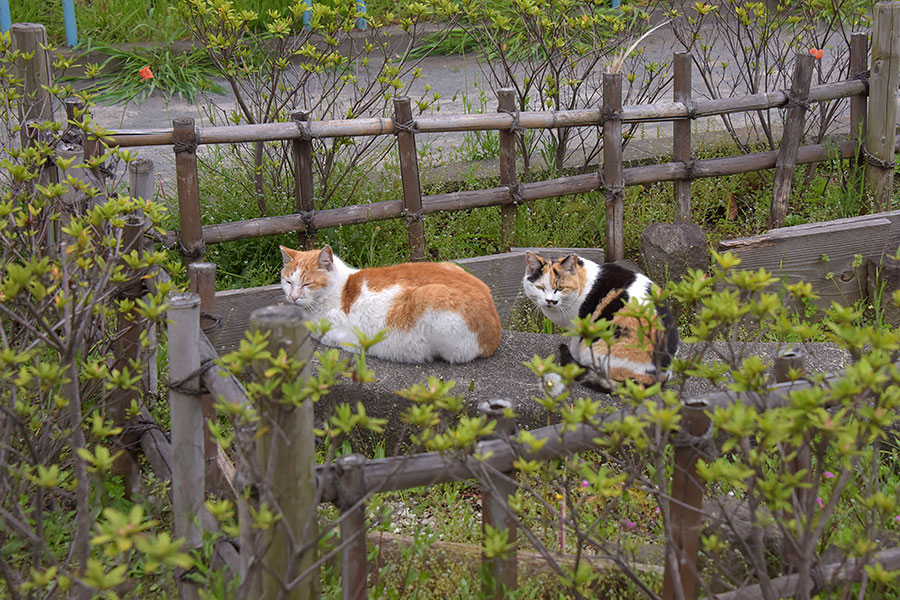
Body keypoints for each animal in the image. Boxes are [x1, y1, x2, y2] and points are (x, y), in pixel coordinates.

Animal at [282, 245, 502, 366]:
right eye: (288, 282)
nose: (293, 297)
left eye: (307, 284)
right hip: (449, 264)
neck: (340, 287)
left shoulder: (333, 330)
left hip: (431, 297)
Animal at [524, 250, 680, 394]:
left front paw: (573, 361)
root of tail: (657, 378)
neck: (584, 283)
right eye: (540, 288)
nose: (549, 300)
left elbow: (574, 347)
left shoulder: (578, 327)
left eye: (560, 288)